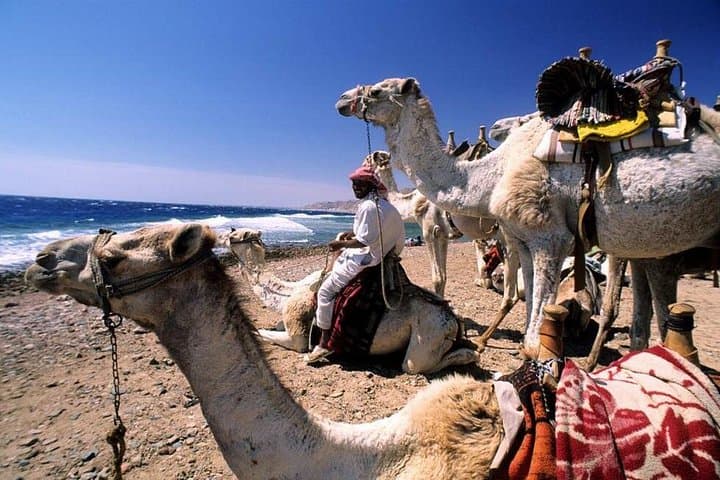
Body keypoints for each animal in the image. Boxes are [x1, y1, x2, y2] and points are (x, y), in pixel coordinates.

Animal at [223, 227, 479, 374]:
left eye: (233, 236)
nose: (221, 235)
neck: (287, 294)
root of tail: (452, 320)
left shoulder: (297, 334)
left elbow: (260, 332)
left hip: (427, 337)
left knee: (417, 365)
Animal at [336, 77, 720, 357]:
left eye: (376, 90)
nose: (341, 99)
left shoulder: (544, 236)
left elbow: (445, 282)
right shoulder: (521, 238)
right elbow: (527, 300)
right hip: (643, 245)